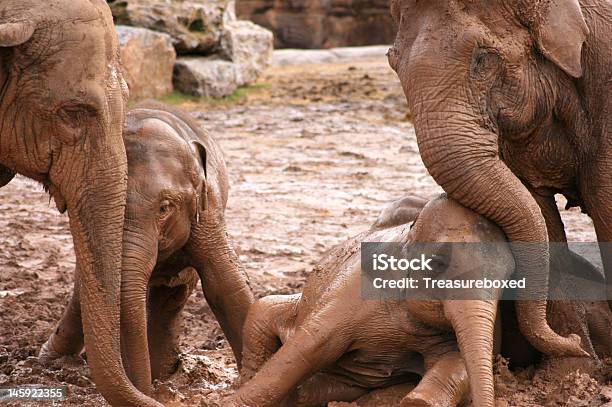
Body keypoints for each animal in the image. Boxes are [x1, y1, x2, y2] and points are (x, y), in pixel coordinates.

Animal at [40, 102, 256, 398]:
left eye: (164, 208)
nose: (149, 394)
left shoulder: (207, 210)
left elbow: (224, 284)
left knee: (172, 294)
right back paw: (51, 361)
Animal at [227, 195, 608, 407]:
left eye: (507, 280)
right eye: (437, 263)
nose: (576, 340)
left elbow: (457, 361)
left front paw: (417, 401)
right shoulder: (352, 292)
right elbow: (311, 345)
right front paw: (235, 402)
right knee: (264, 314)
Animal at [388, 0, 612, 356]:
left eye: (482, 58)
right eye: (392, 61)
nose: (575, 344)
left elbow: (606, 209)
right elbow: (538, 212)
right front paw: (576, 365)